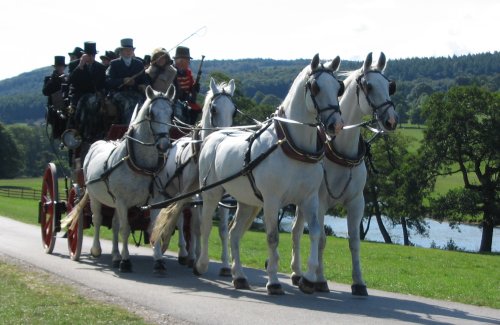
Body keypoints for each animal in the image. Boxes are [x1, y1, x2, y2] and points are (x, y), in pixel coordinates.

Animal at [64, 85, 175, 270]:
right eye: (151, 114)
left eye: (171, 114)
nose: (164, 145)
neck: (142, 165)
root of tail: (98, 143)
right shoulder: (123, 201)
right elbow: (125, 229)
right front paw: (126, 261)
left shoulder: (155, 201)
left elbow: (154, 228)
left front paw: (158, 260)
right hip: (94, 196)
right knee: (97, 218)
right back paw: (97, 250)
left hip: (114, 201)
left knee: (114, 224)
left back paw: (116, 255)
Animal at [152, 53, 346, 294]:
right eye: (315, 87)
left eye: (338, 87)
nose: (336, 125)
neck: (291, 146)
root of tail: (212, 137)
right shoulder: (272, 201)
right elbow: (272, 238)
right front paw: (273, 281)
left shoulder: (308, 199)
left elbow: (316, 234)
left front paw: (309, 279)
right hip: (211, 194)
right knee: (204, 226)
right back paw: (201, 263)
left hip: (246, 201)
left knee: (233, 232)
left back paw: (239, 276)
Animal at [290, 52, 398, 294]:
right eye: (369, 86)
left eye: (389, 86)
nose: (391, 120)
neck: (341, 149)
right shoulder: (320, 201)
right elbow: (321, 239)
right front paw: (319, 280)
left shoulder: (357, 203)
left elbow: (355, 242)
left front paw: (359, 282)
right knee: (297, 231)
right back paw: (298, 272)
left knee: (296, 230)